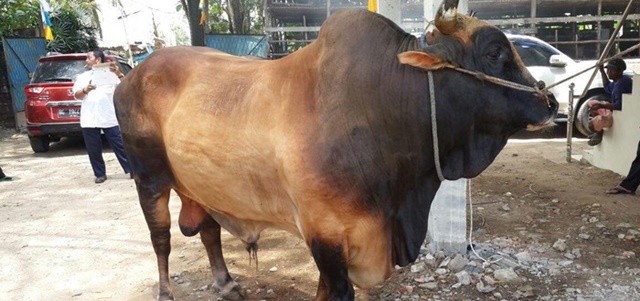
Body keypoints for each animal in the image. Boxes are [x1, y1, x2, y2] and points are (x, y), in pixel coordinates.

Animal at [114, 1, 556, 298]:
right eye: (495, 52)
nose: (550, 102)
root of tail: (132, 74)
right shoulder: (325, 235)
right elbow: (336, 292)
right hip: (148, 179)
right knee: (161, 239)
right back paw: (166, 291)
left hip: (201, 186)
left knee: (208, 231)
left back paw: (225, 283)